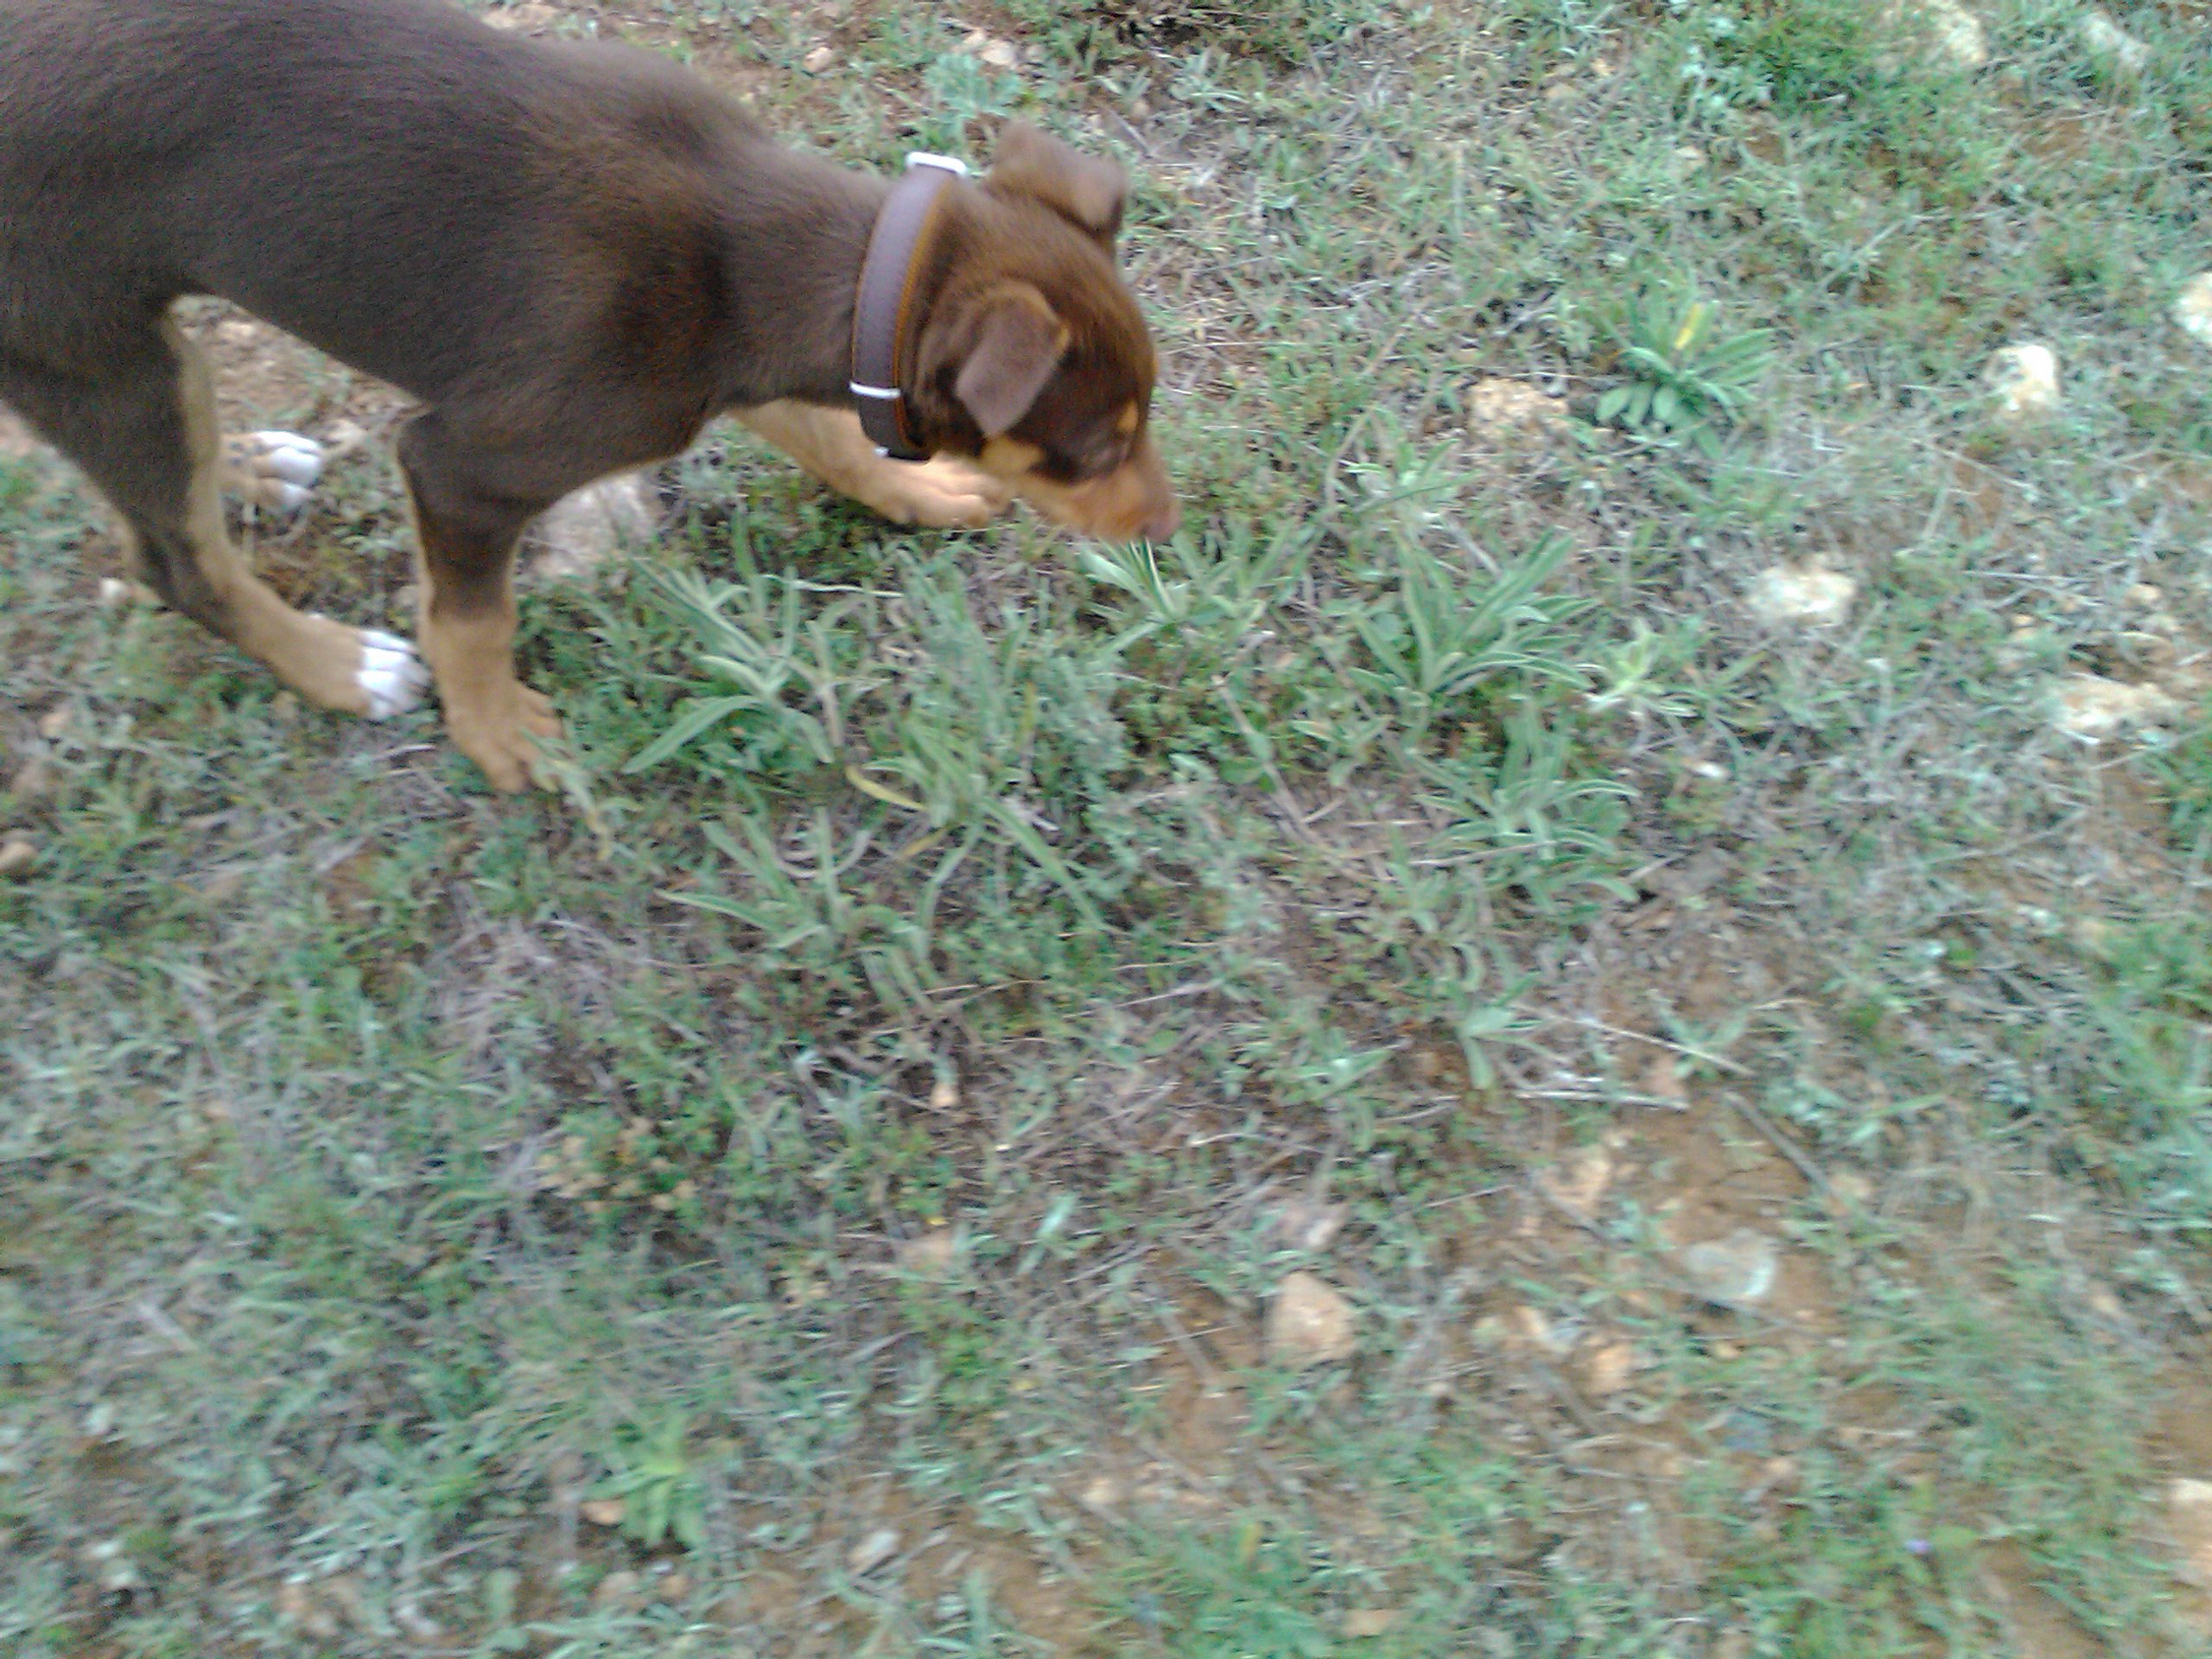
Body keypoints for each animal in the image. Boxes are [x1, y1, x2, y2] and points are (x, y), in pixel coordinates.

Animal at [0, 0, 1179, 790]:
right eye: (1097, 449)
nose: (1165, 530)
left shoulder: (734, 362)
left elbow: (830, 434)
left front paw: (920, 492)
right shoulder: (466, 464)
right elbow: (473, 618)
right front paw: (494, 733)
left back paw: (252, 466)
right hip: (100, 355)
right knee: (176, 560)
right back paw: (339, 666)